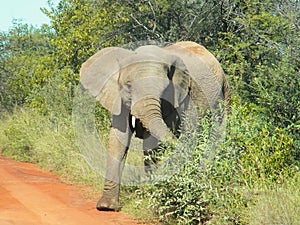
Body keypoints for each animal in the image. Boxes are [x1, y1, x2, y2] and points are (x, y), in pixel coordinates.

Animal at [79, 40, 230, 211]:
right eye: (128, 86)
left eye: (164, 90)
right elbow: (119, 140)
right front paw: (107, 207)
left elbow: (152, 142)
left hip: (224, 92)